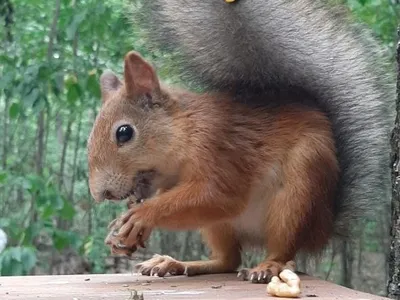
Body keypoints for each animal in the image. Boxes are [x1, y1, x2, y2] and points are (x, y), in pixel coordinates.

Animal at [86, 50, 338, 282]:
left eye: (124, 132)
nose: (100, 194)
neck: (186, 130)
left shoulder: (217, 146)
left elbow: (219, 195)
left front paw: (140, 215)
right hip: (218, 226)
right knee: (228, 260)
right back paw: (175, 263)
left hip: (298, 190)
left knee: (281, 248)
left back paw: (268, 266)